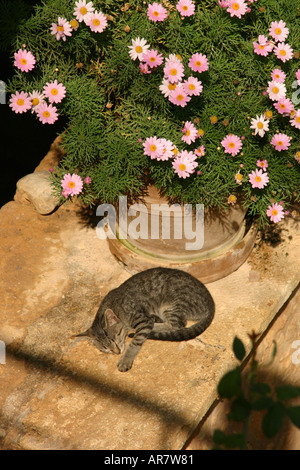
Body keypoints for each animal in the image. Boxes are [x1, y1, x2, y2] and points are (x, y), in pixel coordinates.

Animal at [73, 268, 214, 370]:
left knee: (177, 325)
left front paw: (126, 359)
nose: (116, 352)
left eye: (115, 338)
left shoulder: (142, 320)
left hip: (172, 305)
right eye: (104, 348)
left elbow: (135, 343)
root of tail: (211, 305)